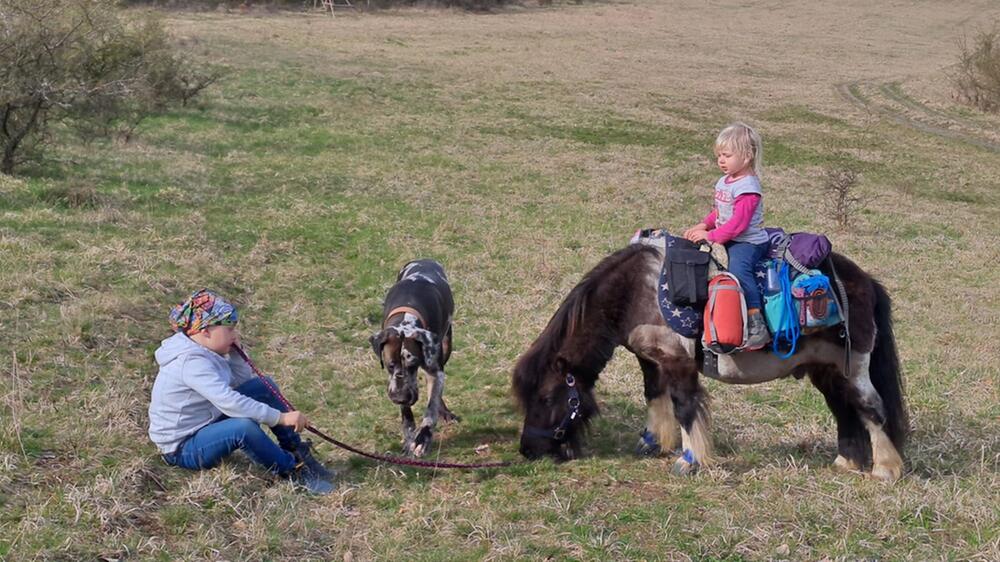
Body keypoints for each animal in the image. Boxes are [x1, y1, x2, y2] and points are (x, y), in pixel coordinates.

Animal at [512, 243, 912, 480]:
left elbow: (685, 407)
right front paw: (652, 443)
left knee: (871, 408)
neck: (638, 292)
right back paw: (847, 461)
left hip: (853, 367)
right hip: (826, 371)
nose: (529, 450)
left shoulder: (679, 364)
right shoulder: (651, 360)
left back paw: (886, 469)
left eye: (546, 398)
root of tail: (865, 281)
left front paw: (690, 460)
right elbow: (654, 397)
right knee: (844, 410)